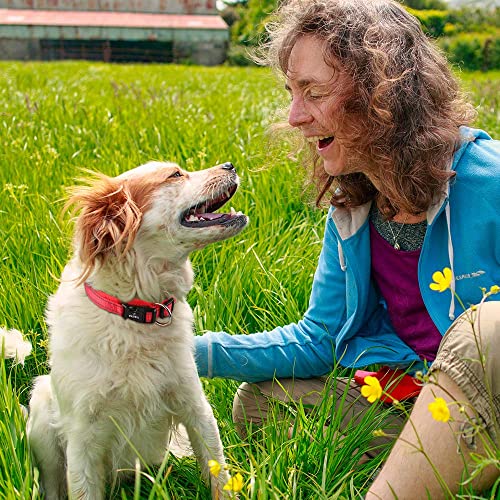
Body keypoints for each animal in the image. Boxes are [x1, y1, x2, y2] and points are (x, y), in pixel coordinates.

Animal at [2, 161, 248, 500]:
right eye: (175, 174)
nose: (230, 165)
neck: (135, 314)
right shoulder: (82, 438)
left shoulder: (194, 406)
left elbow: (217, 472)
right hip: (41, 410)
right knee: (52, 483)